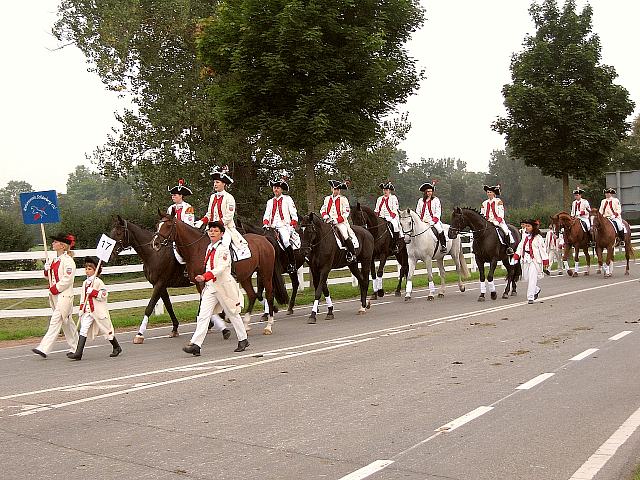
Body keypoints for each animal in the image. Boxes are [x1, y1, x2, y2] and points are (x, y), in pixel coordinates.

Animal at [110, 216, 195, 344]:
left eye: (119, 233)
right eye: (112, 232)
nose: (110, 255)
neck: (154, 253)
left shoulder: (160, 283)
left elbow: (149, 307)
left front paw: (140, 334)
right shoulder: (160, 285)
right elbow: (168, 306)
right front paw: (174, 329)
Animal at [152, 212, 288, 336]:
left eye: (168, 225)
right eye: (157, 225)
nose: (155, 243)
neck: (196, 248)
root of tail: (264, 239)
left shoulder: (205, 282)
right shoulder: (199, 283)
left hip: (265, 273)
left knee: (269, 295)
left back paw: (268, 326)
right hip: (246, 276)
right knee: (252, 295)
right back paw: (245, 324)